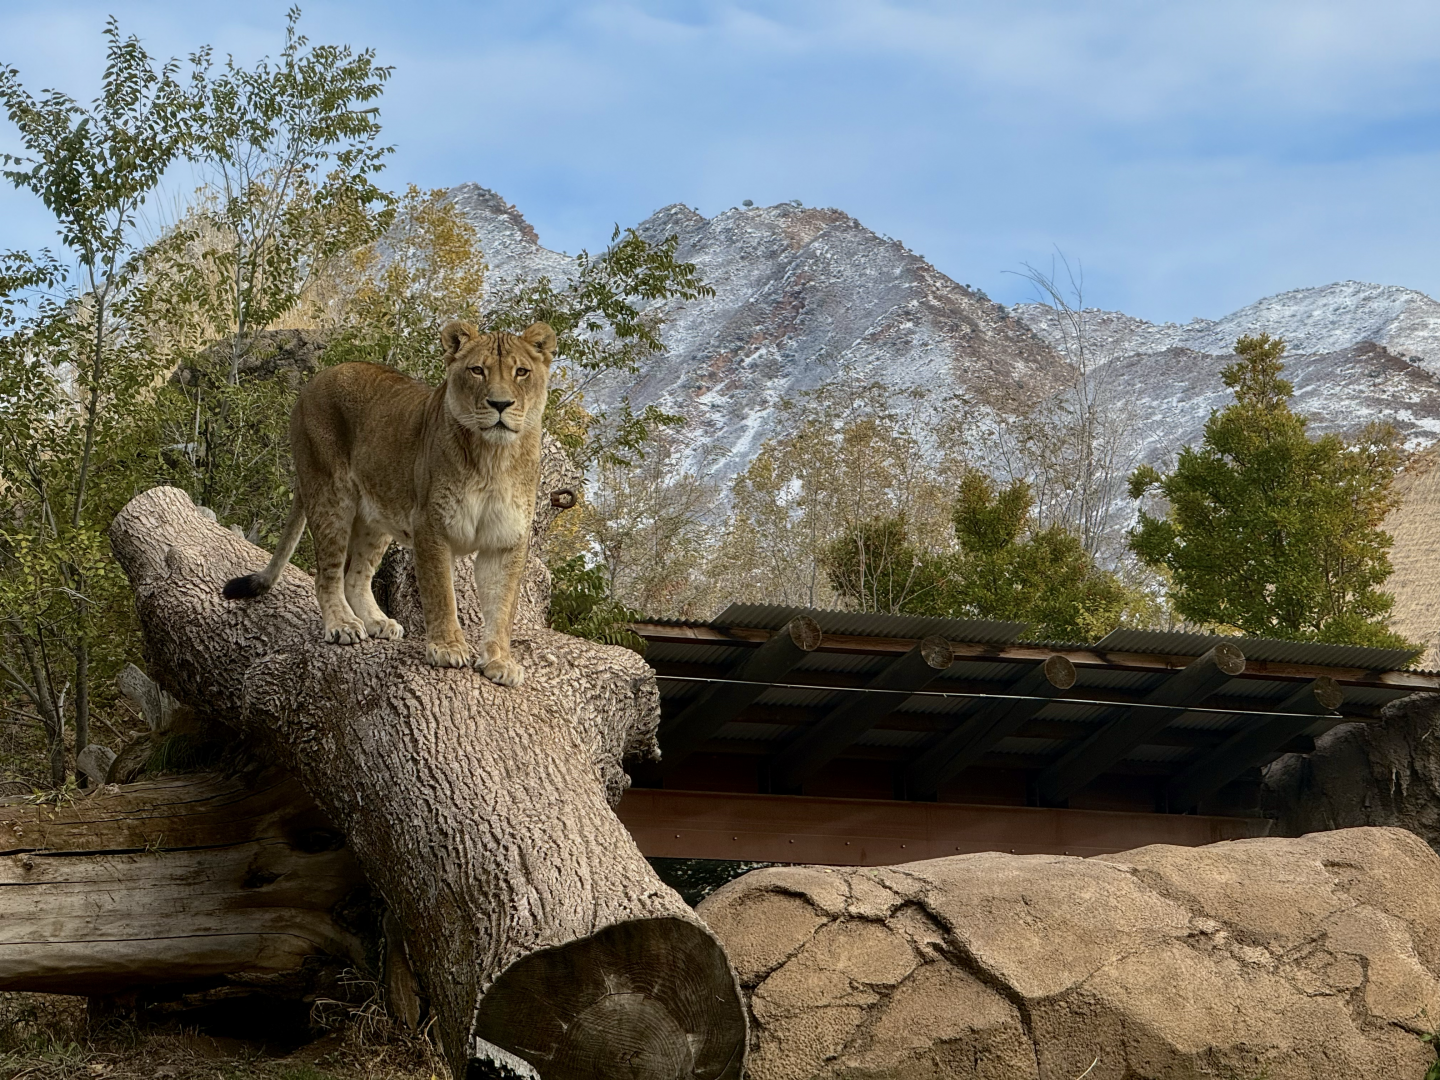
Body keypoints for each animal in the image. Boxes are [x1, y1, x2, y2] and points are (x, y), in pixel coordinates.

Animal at [221, 320, 556, 687]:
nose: (500, 404)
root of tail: (320, 376)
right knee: (327, 574)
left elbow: (503, 606)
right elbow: (441, 593)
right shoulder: (431, 526)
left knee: (356, 575)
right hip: (330, 494)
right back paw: (342, 624)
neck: (495, 457)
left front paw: (500, 661)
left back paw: (377, 622)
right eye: (477, 370)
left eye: (521, 372)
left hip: (376, 516)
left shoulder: (505, 541)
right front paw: (447, 647)